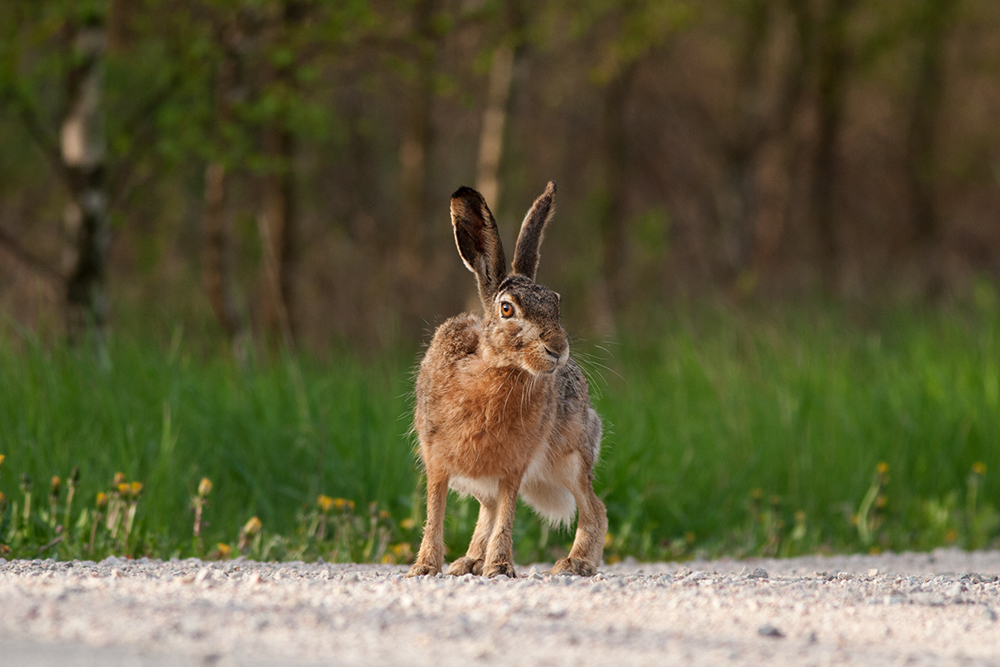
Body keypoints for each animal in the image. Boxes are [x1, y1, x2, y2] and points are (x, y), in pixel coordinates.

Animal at [407, 181, 607, 578]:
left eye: (556, 303)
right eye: (506, 308)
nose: (558, 349)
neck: (498, 371)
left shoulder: (514, 466)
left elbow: (508, 514)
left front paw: (499, 567)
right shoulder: (438, 460)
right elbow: (435, 512)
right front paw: (424, 568)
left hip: (571, 458)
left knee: (594, 507)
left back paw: (575, 563)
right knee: (487, 508)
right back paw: (468, 562)